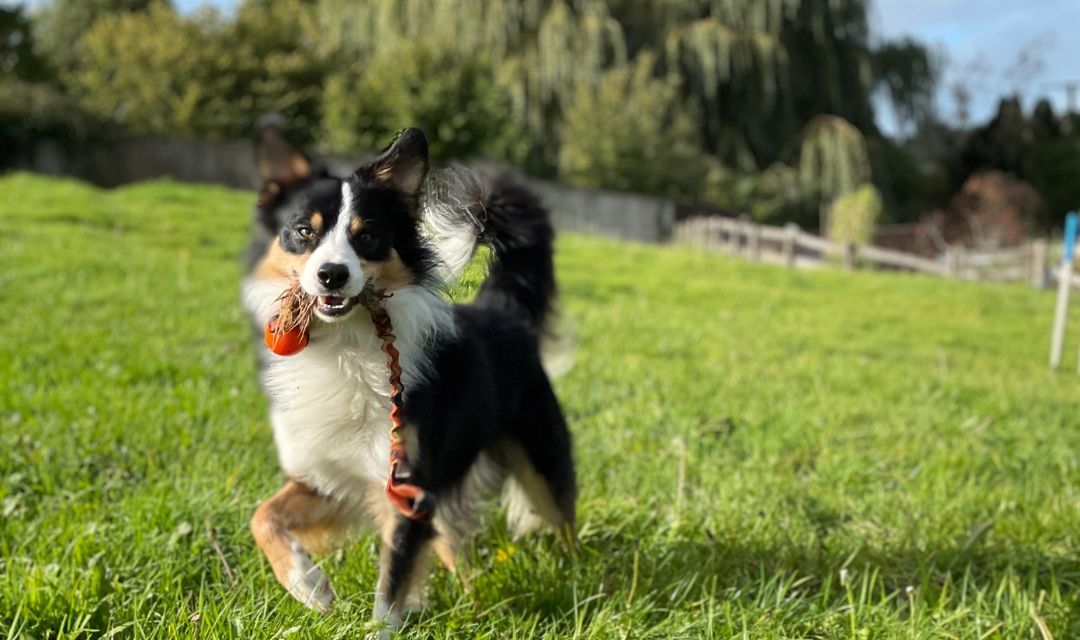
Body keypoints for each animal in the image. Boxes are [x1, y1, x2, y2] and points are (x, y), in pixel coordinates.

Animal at [240, 117, 578, 630]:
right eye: (302, 231)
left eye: (368, 237)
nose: (332, 275)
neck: (345, 346)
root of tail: (501, 310)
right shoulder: (329, 475)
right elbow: (263, 516)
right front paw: (308, 583)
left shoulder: (406, 488)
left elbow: (391, 589)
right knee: (457, 553)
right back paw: (475, 610)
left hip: (539, 457)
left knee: (564, 520)